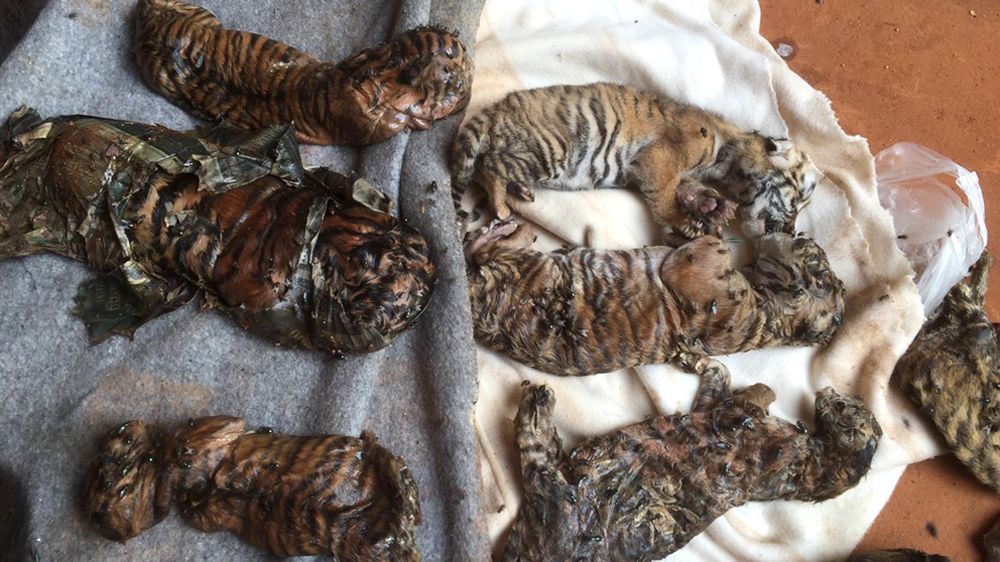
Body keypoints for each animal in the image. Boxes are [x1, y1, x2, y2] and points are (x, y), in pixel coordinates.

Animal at [83, 416, 422, 559]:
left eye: (114, 481)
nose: (96, 516)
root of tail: (401, 528)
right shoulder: (204, 514)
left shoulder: (216, 427)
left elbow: (201, 436)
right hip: (366, 550)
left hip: (386, 469)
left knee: (390, 466)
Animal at [132, 0, 473, 146]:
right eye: (452, 82)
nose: (467, 87)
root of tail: (152, 27)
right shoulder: (365, 122)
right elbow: (392, 124)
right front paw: (418, 121)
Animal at [451, 82, 822, 238]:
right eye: (796, 201)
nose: (791, 231)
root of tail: (497, 109)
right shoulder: (660, 159)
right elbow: (664, 196)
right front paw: (683, 220)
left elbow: (686, 187)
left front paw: (710, 205)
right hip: (550, 152)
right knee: (491, 164)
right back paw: (502, 207)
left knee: (485, 165)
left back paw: (521, 191)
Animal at [465, 219, 844, 376]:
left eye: (802, 240)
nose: (781, 226)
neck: (769, 320)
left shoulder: (696, 271)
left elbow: (713, 244)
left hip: (522, 265)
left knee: (490, 249)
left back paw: (503, 229)